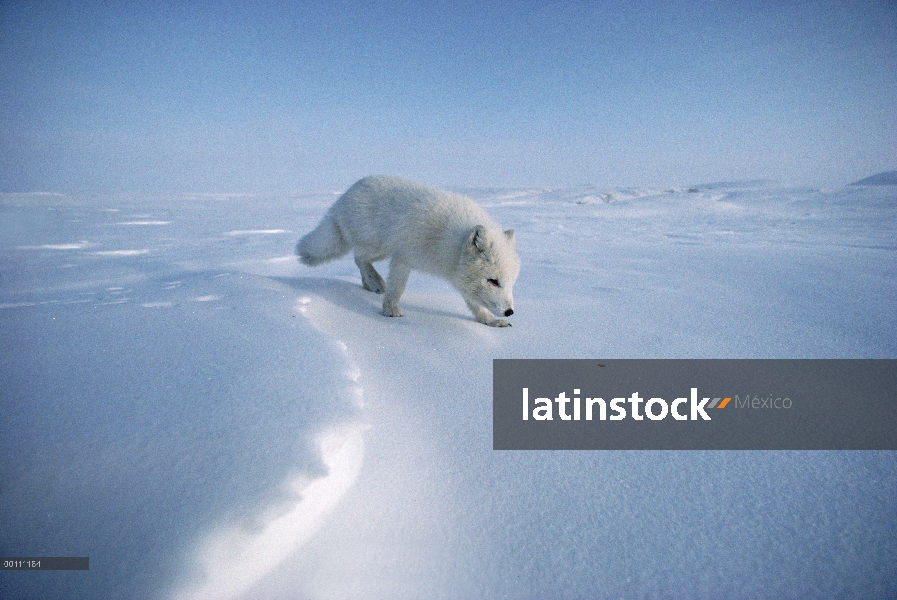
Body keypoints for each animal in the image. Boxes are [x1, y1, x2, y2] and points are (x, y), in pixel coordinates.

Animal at [298, 176, 520, 328]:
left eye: (510, 282)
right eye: (493, 281)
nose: (509, 311)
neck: (449, 241)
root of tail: (344, 197)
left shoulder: (458, 276)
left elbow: (475, 305)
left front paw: (490, 321)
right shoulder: (402, 258)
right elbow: (396, 288)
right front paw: (390, 311)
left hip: (381, 251)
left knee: (358, 259)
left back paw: (369, 285)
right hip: (377, 247)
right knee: (359, 258)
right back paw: (375, 282)